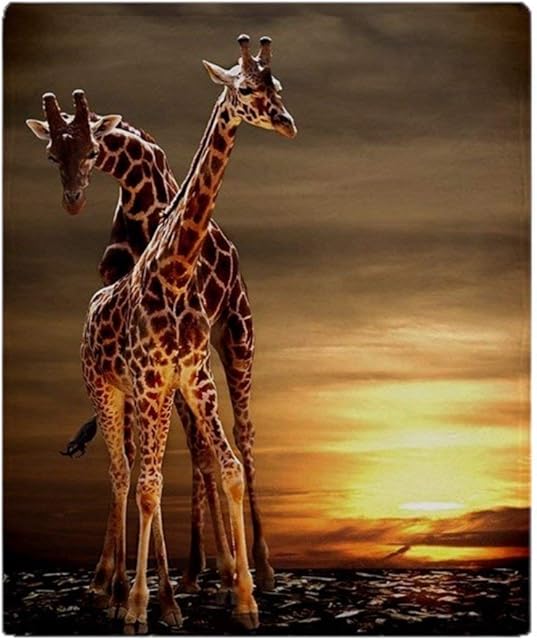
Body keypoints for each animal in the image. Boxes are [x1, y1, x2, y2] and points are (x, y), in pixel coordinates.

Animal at [27, 88, 277, 592]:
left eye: (91, 150)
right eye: (52, 154)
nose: (73, 200)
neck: (139, 198)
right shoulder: (126, 340)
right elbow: (132, 450)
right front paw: (110, 577)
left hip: (237, 332)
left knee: (241, 431)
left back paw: (251, 564)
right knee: (195, 443)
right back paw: (202, 567)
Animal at [79, 34, 295, 631]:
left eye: (277, 85)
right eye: (244, 90)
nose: (288, 123)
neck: (174, 270)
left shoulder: (194, 378)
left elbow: (228, 466)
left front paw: (244, 595)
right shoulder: (155, 380)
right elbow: (150, 485)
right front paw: (138, 605)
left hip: (210, 361)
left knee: (197, 454)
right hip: (109, 391)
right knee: (124, 472)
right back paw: (123, 589)